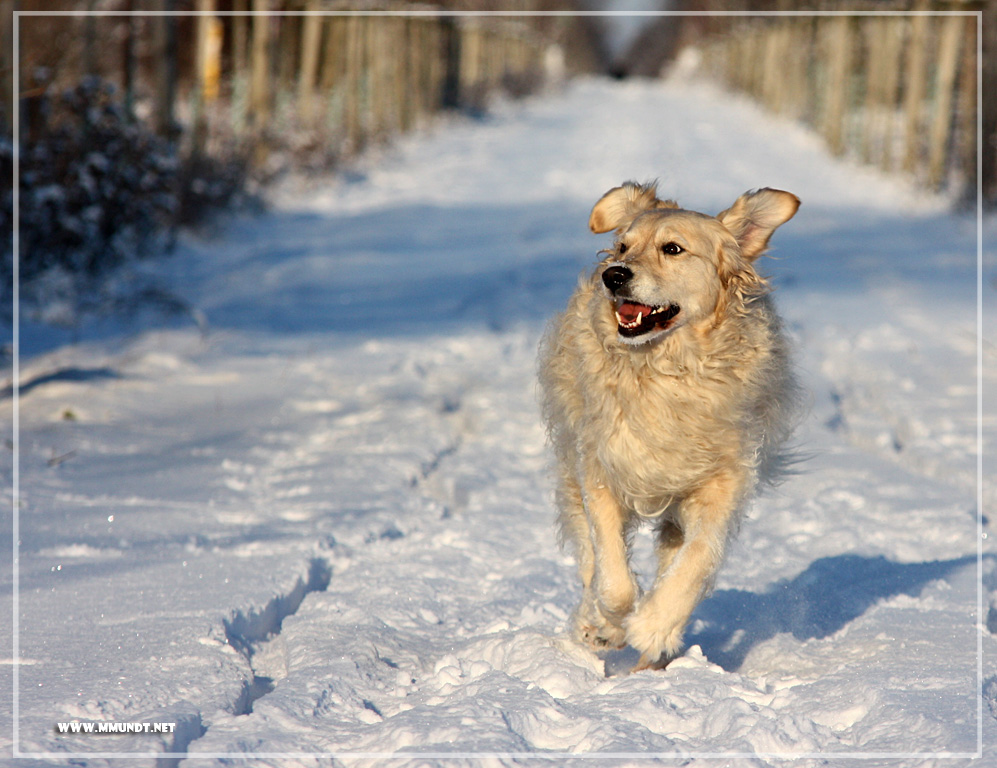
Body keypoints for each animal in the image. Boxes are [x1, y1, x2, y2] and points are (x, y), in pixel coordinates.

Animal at [536, 183, 800, 668]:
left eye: (672, 248)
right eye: (623, 247)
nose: (613, 276)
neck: (665, 369)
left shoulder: (723, 482)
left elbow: (698, 560)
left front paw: (656, 626)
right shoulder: (600, 468)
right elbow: (613, 577)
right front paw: (607, 625)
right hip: (569, 462)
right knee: (589, 557)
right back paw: (595, 625)